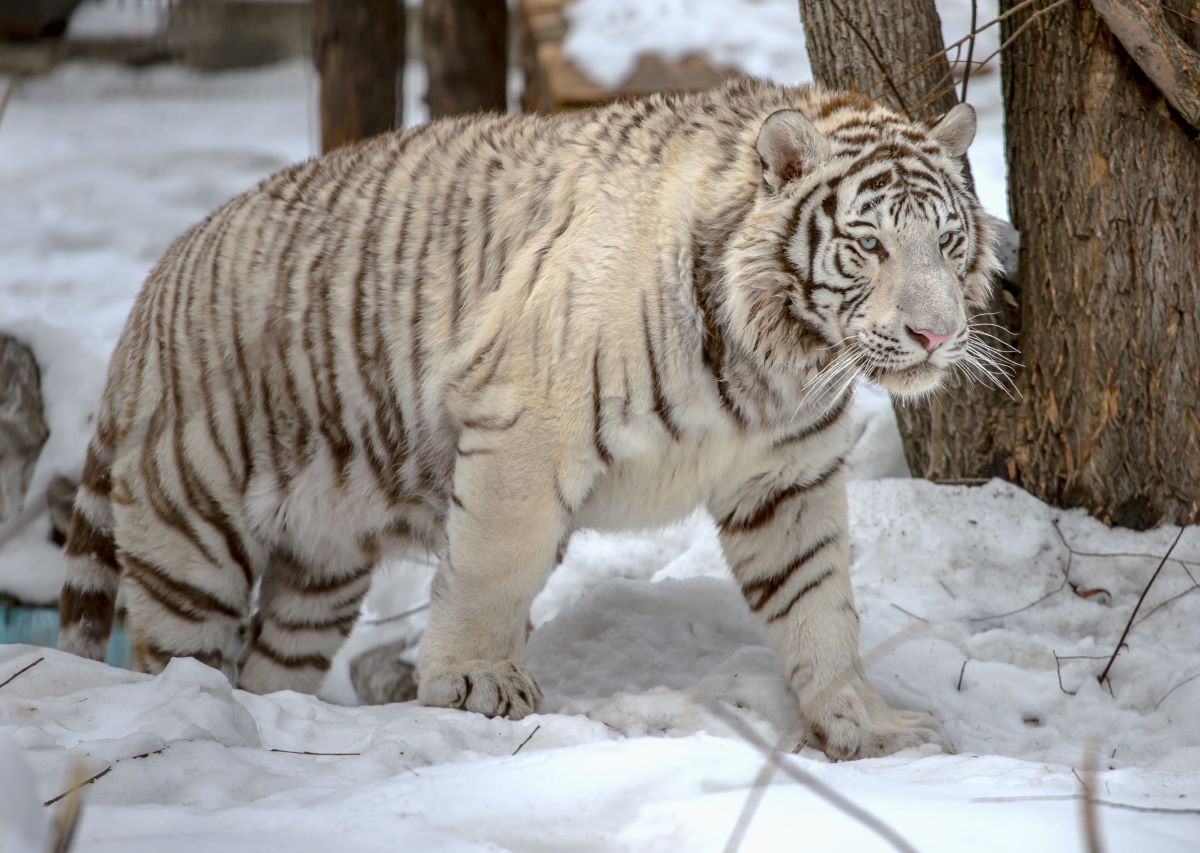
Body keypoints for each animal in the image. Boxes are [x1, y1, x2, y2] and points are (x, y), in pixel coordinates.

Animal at [57, 76, 1000, 759]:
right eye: (870, 245)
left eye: (947, 242)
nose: (937, 333)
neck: (778, 358)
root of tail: (147, 296)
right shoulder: (526, 426)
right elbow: (491, 569)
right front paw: (473, 684)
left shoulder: (788, 477)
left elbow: (820, 604)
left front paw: (864, 725)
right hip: (192, 537)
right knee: (175, 653)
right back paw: (200, 720)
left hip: (319, 570)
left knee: (271, 659)